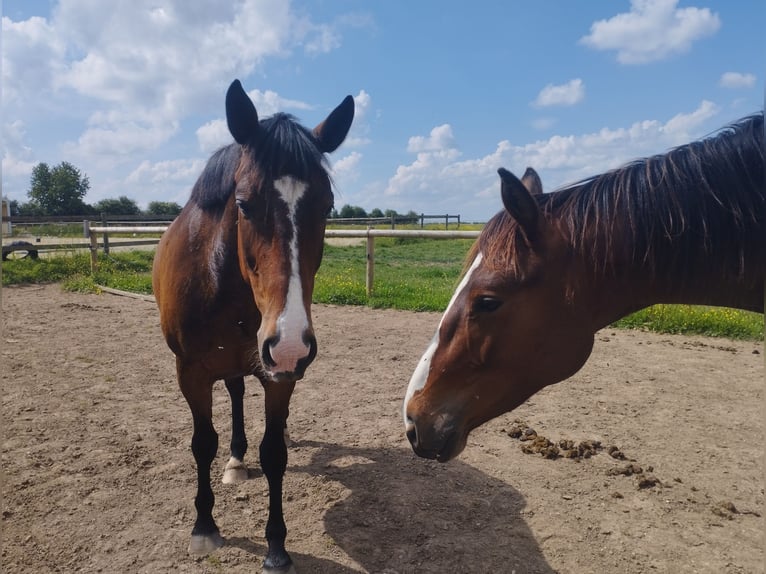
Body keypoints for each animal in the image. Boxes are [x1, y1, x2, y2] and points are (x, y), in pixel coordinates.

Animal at [154, 79, 356, 572]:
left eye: (327, 205)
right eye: (243, 204)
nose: (289, 345)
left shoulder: (278, 374)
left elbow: (274, 455)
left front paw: (277, 547)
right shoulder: (190, 373)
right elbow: (202, 443)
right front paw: (204, 528)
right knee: (233, 396)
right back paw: (234, 460)